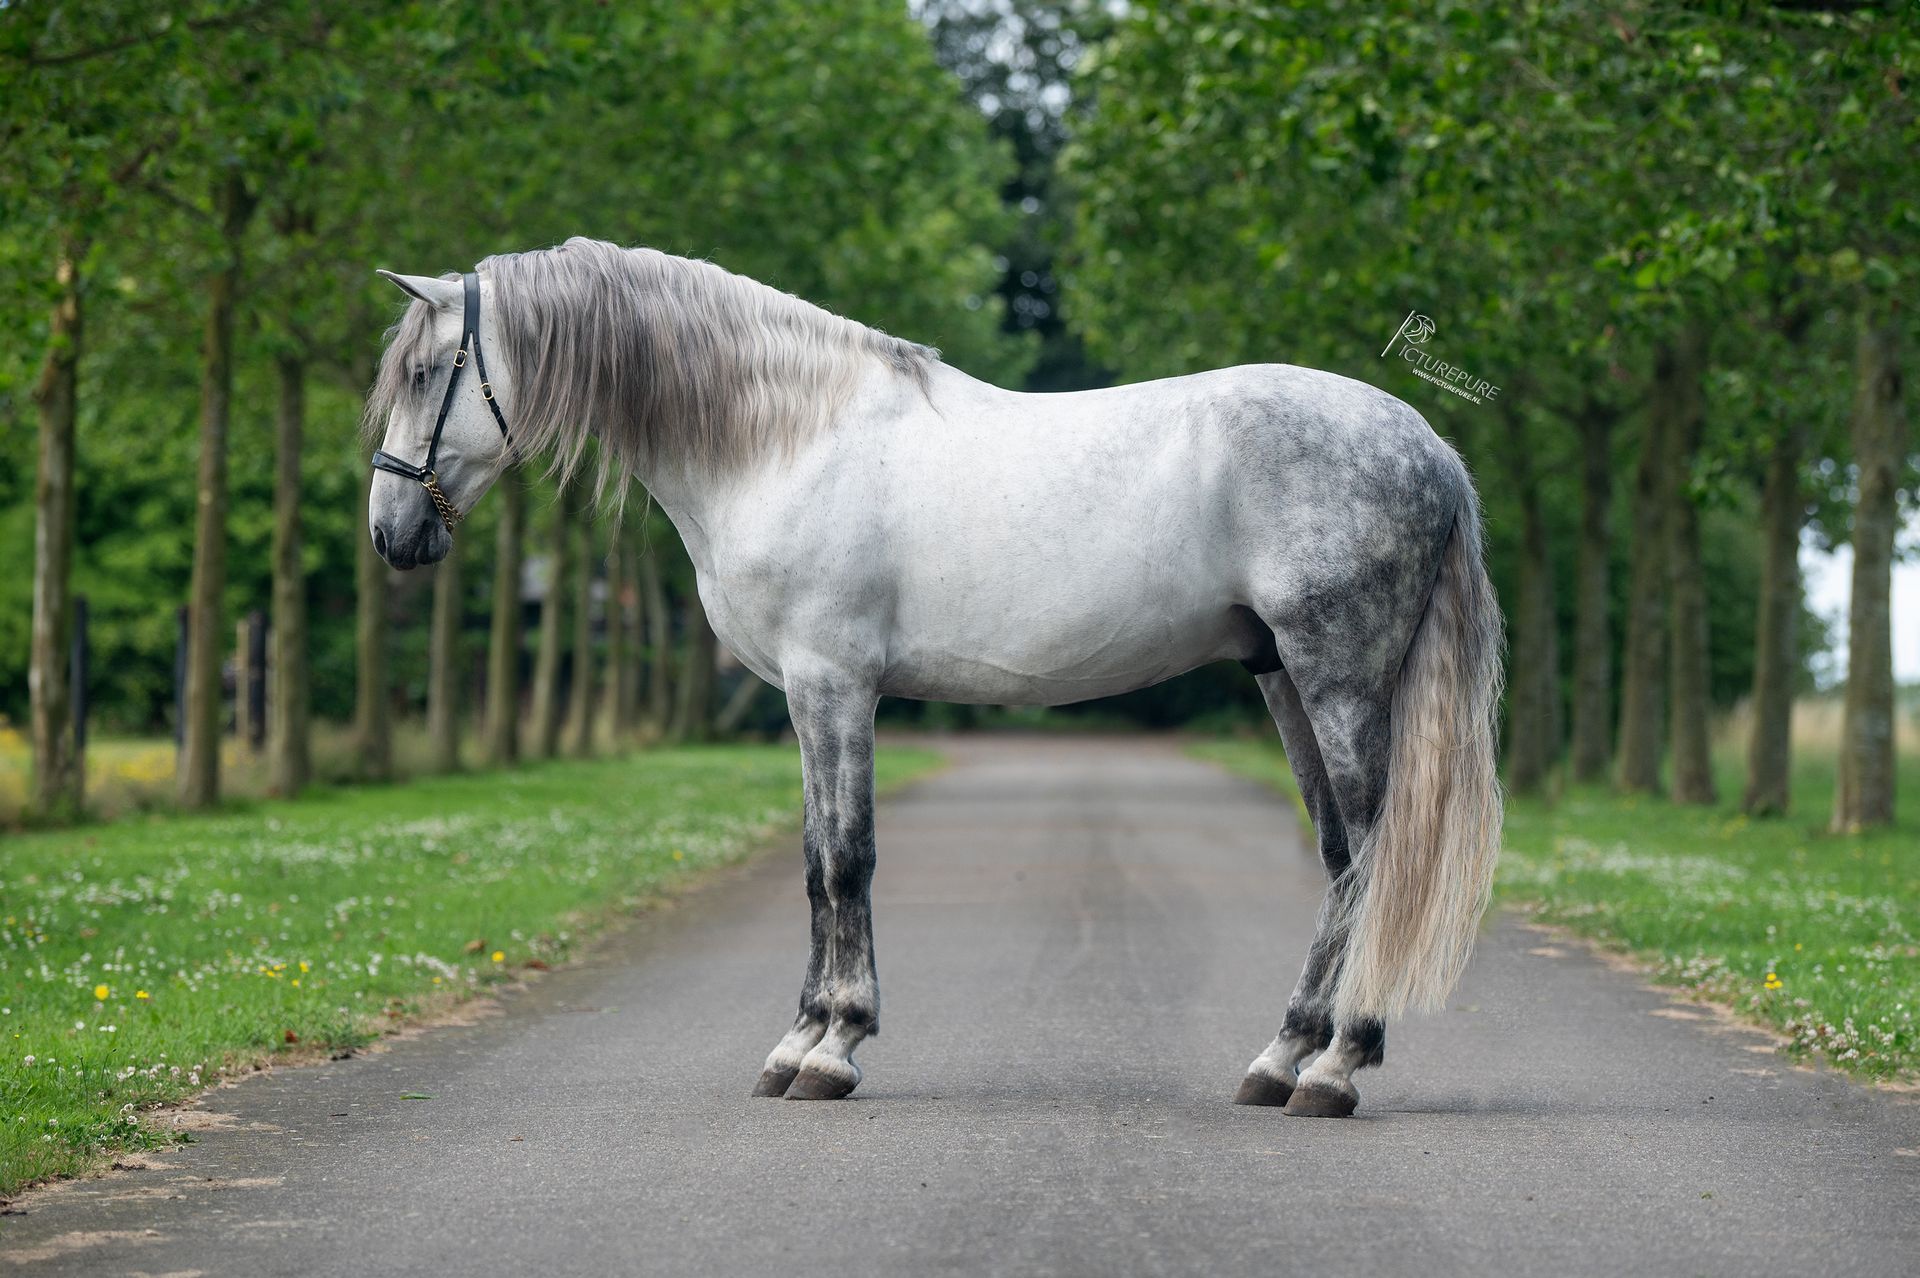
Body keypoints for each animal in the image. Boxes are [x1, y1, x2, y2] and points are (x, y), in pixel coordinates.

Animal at [365, 237, 1503, 1117]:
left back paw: (1339, 1068)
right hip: (1282, 678)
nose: (390, 533)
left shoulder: (834, 686)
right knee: (1340, 859)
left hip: (1336, 676)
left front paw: (832, 1049)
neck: (784, 438)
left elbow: (847, 861)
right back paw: (1284, 1059)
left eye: (426, 373)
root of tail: (1432, 447)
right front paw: (797, 1042)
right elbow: (815, 861)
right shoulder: (803, 696)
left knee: (1376, 850)